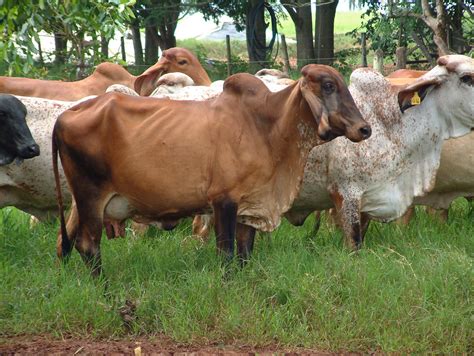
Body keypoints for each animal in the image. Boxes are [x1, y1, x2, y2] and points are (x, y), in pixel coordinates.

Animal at [52, 64, 370, 276]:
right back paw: (104, 288)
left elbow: (244, 253)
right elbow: (227, 253)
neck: (266, 126)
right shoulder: (223, 201)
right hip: (91, 197)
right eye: (328, 85)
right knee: (88, 245)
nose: (364, 128)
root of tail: (66, 116)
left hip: (83, 203)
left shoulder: (249, 205)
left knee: (69, 242)